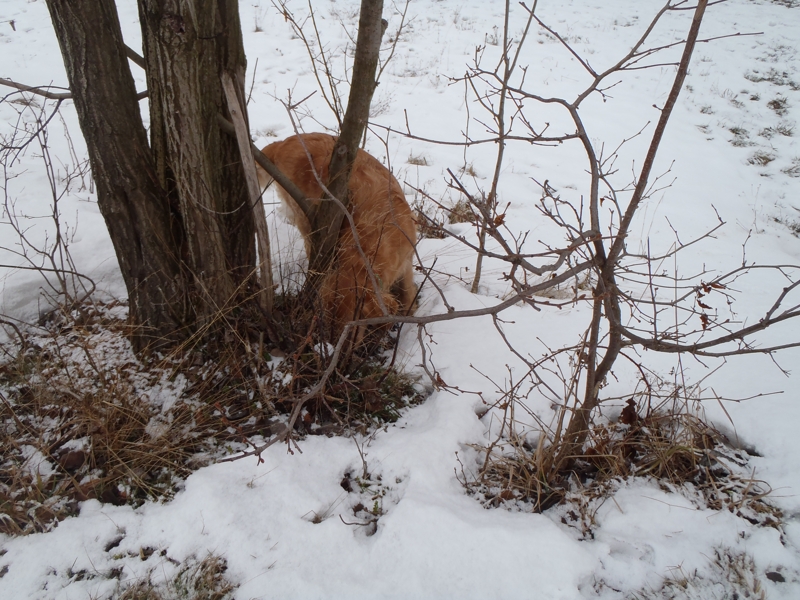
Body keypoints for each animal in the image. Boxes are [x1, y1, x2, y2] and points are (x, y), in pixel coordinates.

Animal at [258, 134, 418, 340]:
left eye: (351, 333)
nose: (331, 347)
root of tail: (285, 141)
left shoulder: (406, 259)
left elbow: (407, 292)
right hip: (306, 218)